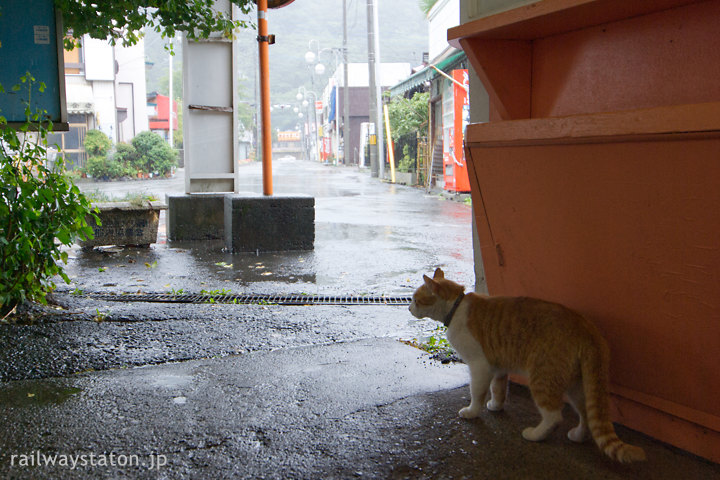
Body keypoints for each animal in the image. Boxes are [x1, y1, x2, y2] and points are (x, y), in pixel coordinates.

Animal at [410, 268, 648, 464]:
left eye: (415, 299)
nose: (409, 307)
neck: (457, 307)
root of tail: (586, 326)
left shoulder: (479, 366)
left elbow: (477, 393)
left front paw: (472, 411)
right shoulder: (499, 366)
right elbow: (498, 389)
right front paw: (496, 406)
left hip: (542, 378)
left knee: (554, 416)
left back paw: (535, 434)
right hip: (577, 387)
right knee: (587, 415)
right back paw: (578, 436)